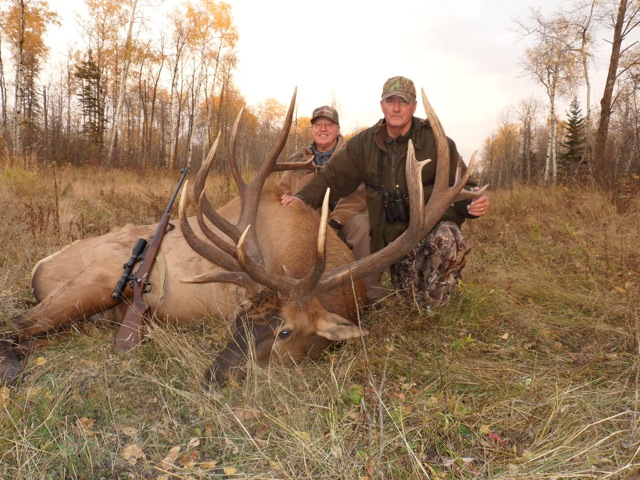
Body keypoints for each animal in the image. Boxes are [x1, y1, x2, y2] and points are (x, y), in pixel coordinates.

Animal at [0, 88, 483, 386]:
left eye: (285, 332)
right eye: (239, 318)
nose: (216, 375)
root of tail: (38, 267)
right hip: (92, 282)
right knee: (16, 323)